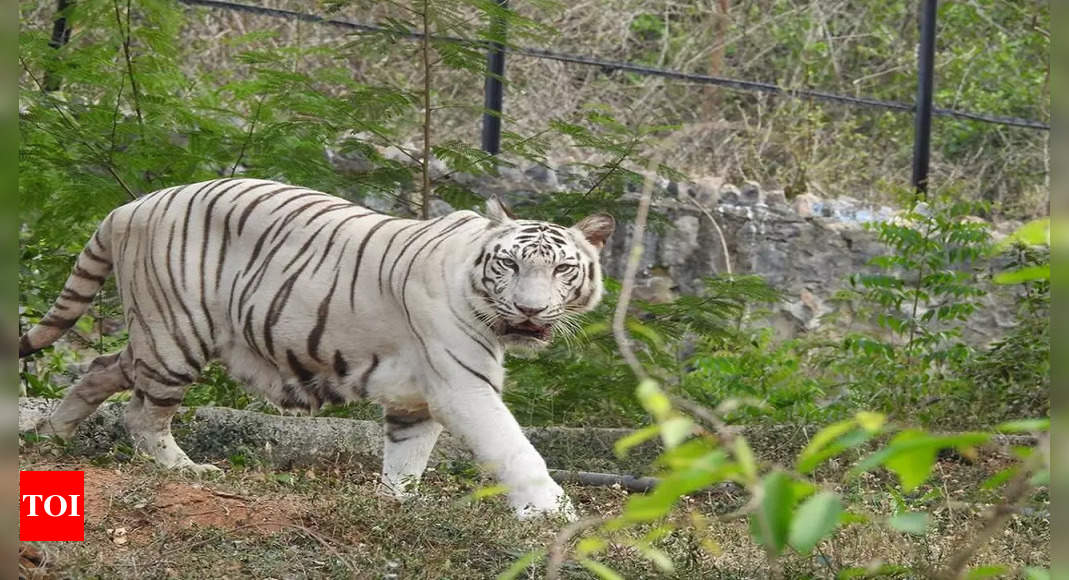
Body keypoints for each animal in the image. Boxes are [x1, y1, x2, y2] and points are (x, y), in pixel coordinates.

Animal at [20, 179, 615, 519]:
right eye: (509, 264)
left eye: (562, 269)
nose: (530, 311)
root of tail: (131, 206)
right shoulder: (463, 386)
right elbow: (515, 448)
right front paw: (551, 513)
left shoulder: (416, 399)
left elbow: (407, 457)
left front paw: (397, 503)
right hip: (176, 335)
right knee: (144, 413)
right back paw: (185, 470)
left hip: (159, 336)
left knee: (104, 366)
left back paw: (52, 436)